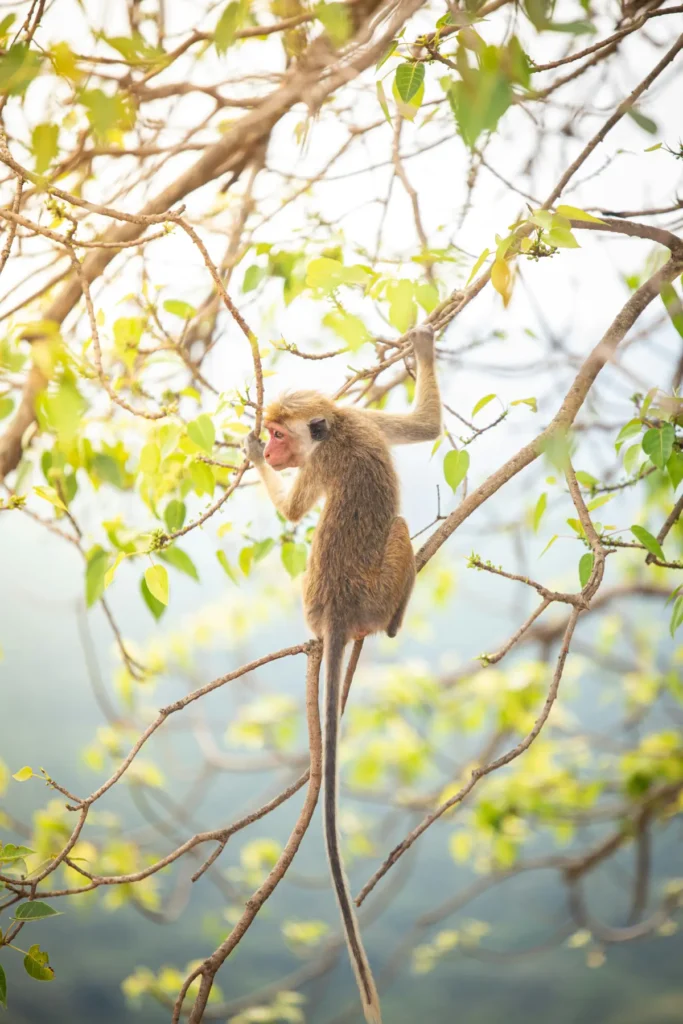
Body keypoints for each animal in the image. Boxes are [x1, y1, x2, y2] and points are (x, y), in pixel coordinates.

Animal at [245, 323, 444, 1019]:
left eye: (279, 434)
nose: (269, 449)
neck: (335, 429)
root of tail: (336, 613)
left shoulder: (352, 429)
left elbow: (422, 428)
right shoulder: (352, 430)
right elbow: (423, 428)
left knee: (402, 528)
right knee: (404, 529)